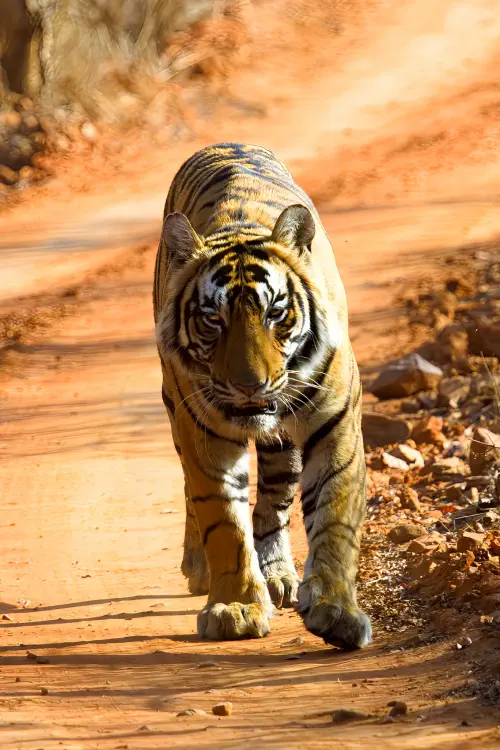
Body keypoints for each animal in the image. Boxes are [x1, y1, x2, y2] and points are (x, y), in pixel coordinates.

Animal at [153, 143, 371, 649]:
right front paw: (235, 608)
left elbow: (333, 519)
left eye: (275, 312)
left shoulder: (336, 429)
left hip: (284, 447)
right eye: (213, 319)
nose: (249, 385)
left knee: (274, 501)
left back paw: (278, 575)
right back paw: (199, 568)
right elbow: (223, 524)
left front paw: (336, 610)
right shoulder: (204, 439)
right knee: (194, 494)